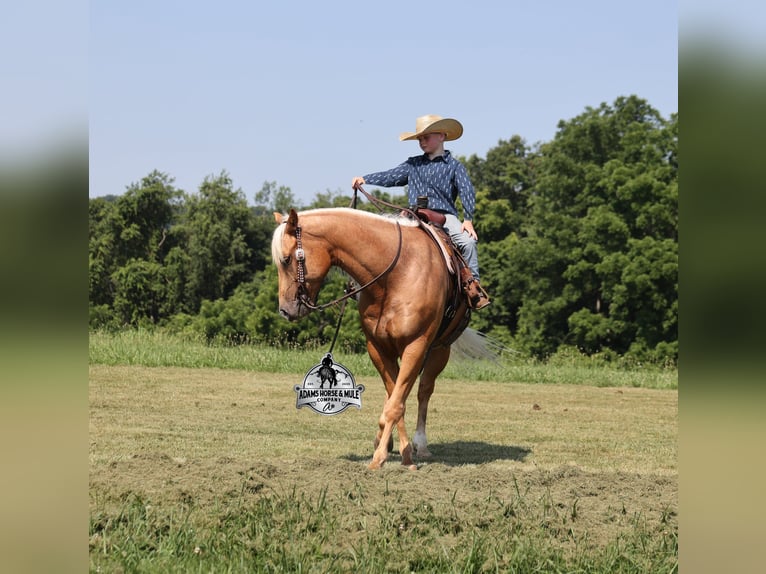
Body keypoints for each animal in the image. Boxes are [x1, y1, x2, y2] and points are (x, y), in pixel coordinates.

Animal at [271, 207, 471, 469]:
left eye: (286, 259)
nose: (285, 311)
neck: (396, 274)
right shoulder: (378, 348)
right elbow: (395, 400)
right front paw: (396, 451)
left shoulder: (416, 346)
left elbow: (398, 403)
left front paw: (383, 459)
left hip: (439, 350)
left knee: (423, 391)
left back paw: (421, 444)